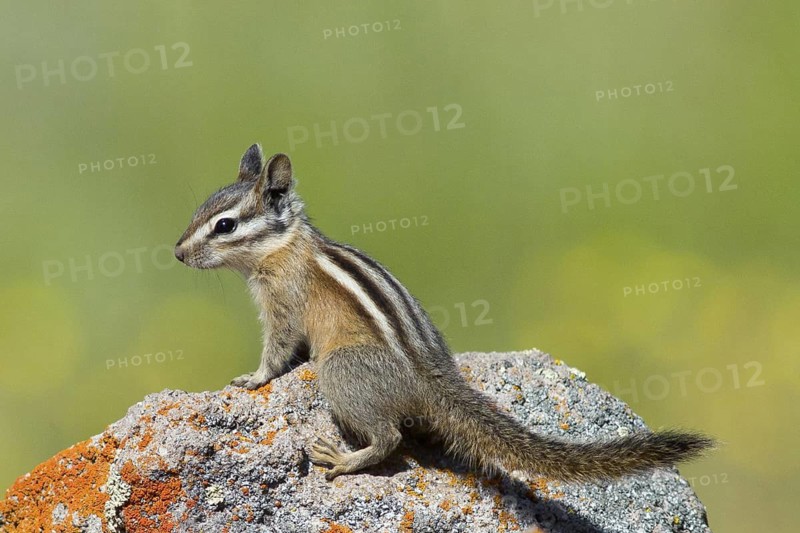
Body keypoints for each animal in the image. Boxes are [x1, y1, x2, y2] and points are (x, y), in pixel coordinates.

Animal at [174, 144, 714, 481]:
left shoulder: (282, 302)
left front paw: (252, 379)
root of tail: (429, 378)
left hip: (343, 369)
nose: (177, 254)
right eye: (200, 210)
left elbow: (278, 348)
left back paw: (345, 460)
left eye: (225, 226)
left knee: (390, 437)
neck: (284, 244)